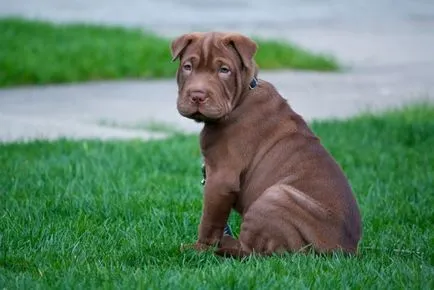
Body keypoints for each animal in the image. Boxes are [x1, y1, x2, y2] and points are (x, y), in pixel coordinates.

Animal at [171, 32, 362, 258]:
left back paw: (224, 247)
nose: (197, 95)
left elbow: (209, 221)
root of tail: (344, 250)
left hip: (276, 196)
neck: (242, 95)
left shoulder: (220, 179)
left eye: (224, 70)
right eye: (188, 67)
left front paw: (200, 249)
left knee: (252, 252)